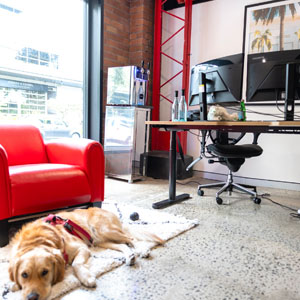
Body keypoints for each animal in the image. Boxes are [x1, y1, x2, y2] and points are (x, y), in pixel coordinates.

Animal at [8, 207, 164, 300]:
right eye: (24, 275)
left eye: (45, 272)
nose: (32, 297)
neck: (38, 239)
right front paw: (13, 286)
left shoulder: (81, 248)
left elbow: (76, 264)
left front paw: (86, 278)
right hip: (100, 240)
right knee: (123, 245)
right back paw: (130, 257)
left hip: (104, 230)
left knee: (131, 239)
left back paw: (142, 250)